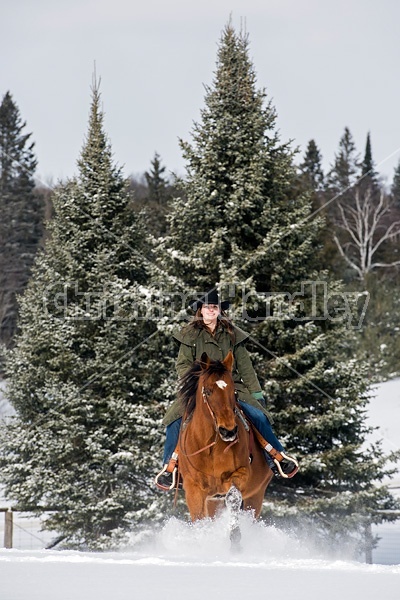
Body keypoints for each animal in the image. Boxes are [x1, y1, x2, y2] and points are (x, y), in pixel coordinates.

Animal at [177, 350, 274, 540]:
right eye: (208, 391)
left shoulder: (239, 474)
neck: (210, 446)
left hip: (255, 495)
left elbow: (233, 498)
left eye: (234, 392)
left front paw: (235, 537)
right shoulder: (193, 488)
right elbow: (199, 518)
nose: (228, 431)